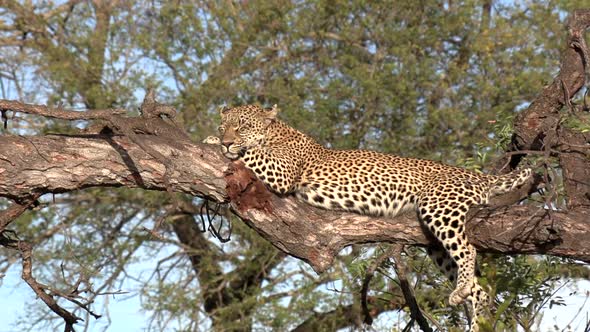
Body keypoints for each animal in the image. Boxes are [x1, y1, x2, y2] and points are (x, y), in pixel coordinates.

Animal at [204, 103, 532, 330]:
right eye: (223, 127)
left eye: (242, 127)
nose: (225, 140)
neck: (277, 132)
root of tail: (479, 176)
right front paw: (211, 140)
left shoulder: (283, 172)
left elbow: (250, 153)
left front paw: (215, 144)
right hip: (435, 242)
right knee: (481, 292)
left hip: (439, 206)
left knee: (468, 250)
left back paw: (461, 289)